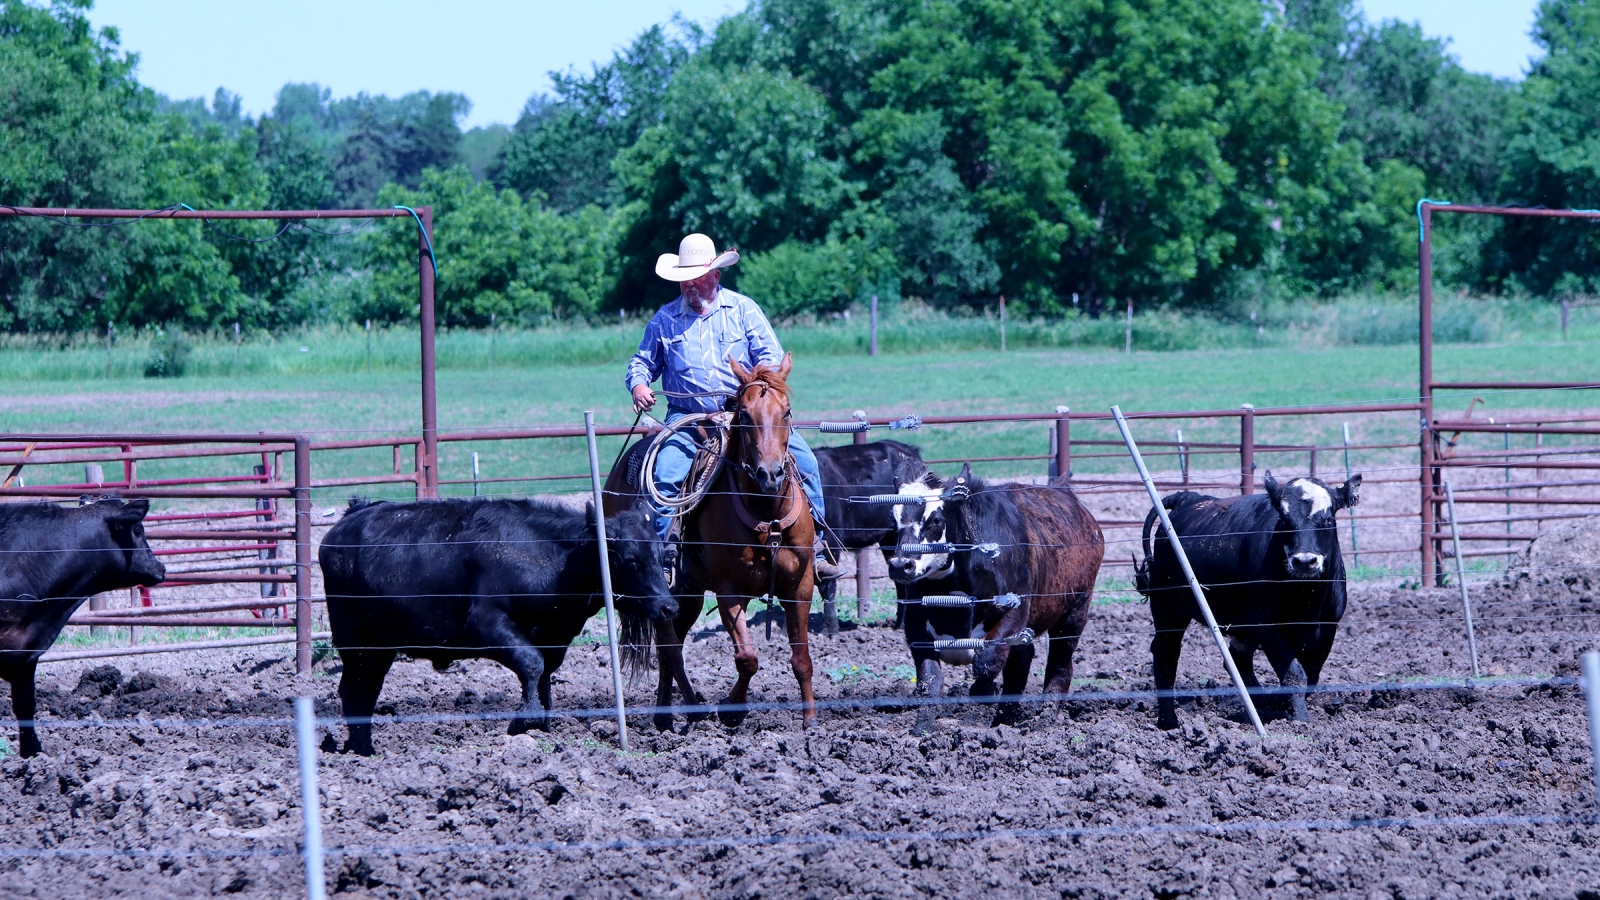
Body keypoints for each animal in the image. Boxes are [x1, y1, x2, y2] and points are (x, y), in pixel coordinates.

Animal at [321, 493, 678, 752]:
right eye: (631, 559)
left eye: (664, 556)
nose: (668, 607)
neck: (549, 559)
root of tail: (351, 516)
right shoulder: (485, 623)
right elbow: (532, 663)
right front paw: (525, 720)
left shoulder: (553, 637)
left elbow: (544, 676)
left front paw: (544, 726)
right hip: (355, 641)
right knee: (354, 690)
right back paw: (362, 750)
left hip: (379, 647)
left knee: (366, 690)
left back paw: (362, 746)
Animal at [604, 352, 819, 730]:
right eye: (744, 414)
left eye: (787, 411)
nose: (769, 473)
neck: (766, 512)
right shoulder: (728, 588)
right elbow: (747, 657)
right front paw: (732, 708)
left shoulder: (800, 585)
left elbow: (801, 657)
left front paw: (809, 721)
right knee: (670, 648)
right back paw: (689, 710)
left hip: (687, 592)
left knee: (671, 644)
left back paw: (665, 717)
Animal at [1139, 470, 1363, 730]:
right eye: (1283, 519)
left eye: (1327, 519)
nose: (1304, 561)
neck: (1306, 596)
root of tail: (1187, 498)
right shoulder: (1265, 626)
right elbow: (1294, 673)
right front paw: (1301, 718)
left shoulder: (1328, 628)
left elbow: (1312, 673)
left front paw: (1283, 706)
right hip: (1168, 609)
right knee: (1166, 655)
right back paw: (1168, 719)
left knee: (1237, 660)